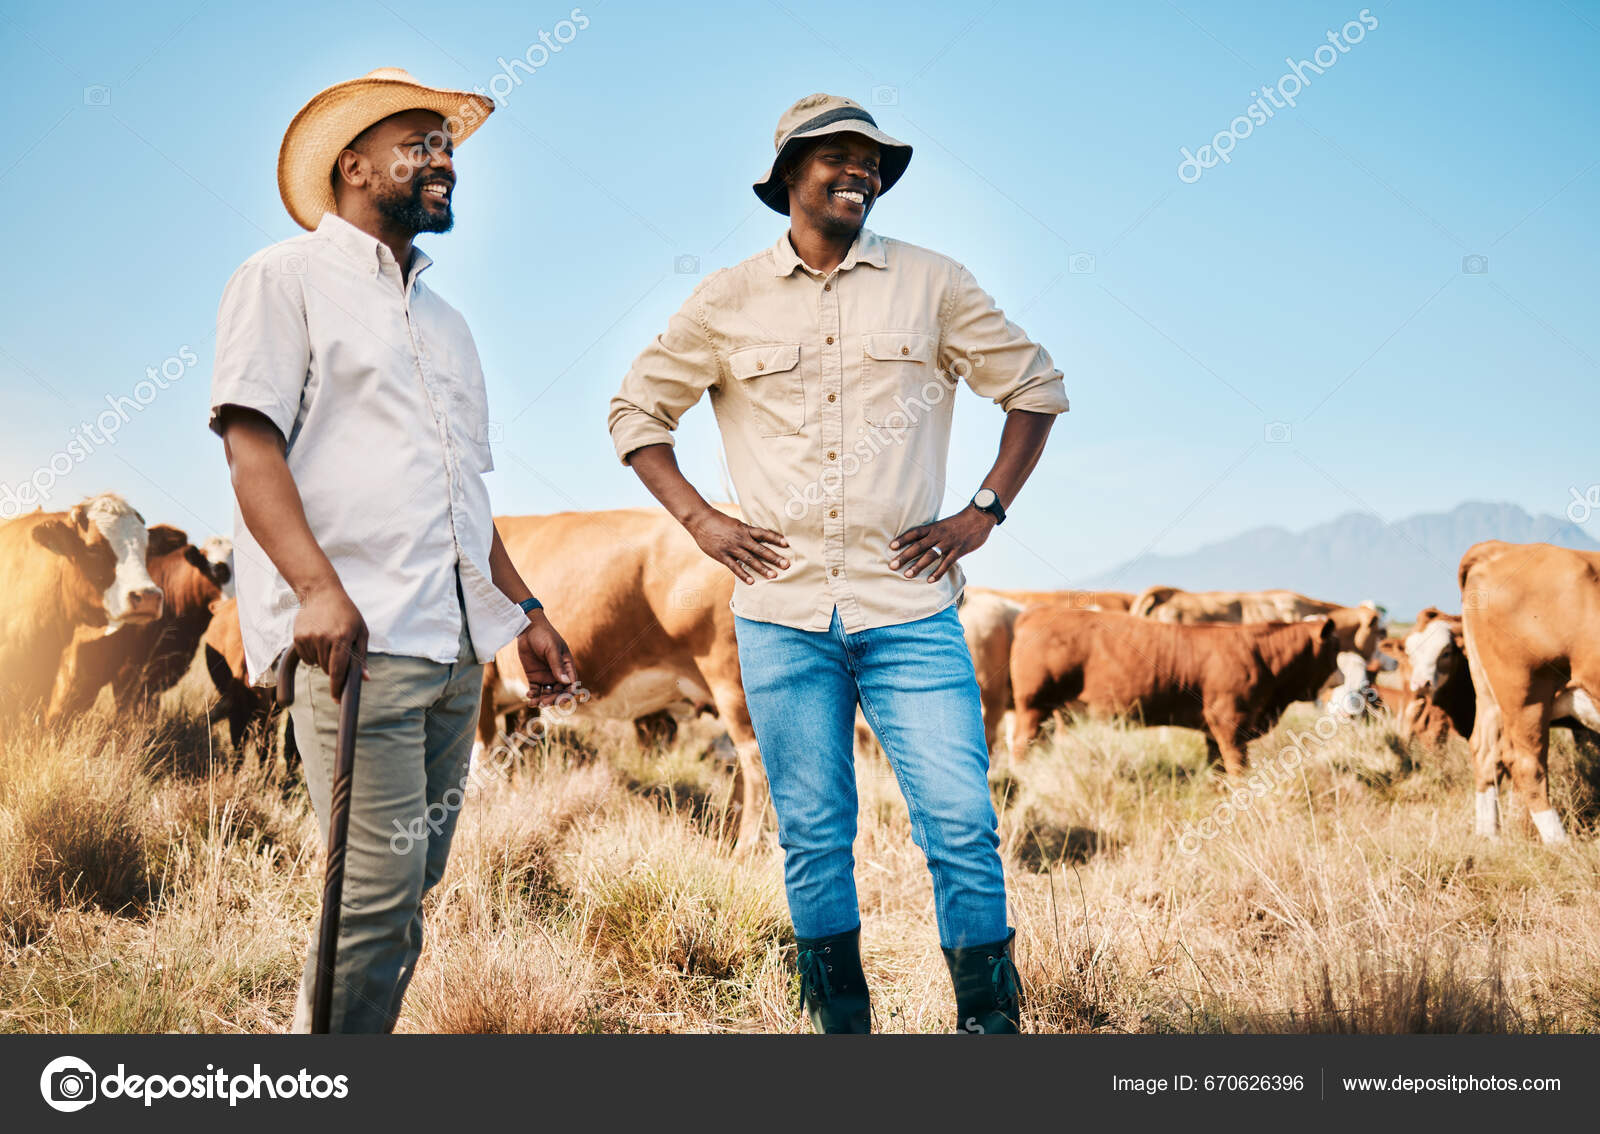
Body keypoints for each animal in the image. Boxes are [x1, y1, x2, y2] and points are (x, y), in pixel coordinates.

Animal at [481, 509, 767, 852]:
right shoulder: (520, 700)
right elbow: (518, 754)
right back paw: (729, 831)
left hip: (731, 685)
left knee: (756, 764)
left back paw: (745, 846)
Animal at [1008, 608, 1342, 772]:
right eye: (1335, 649)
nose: (1341, 678)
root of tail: (1032, 614)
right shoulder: (1230, 723)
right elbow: (1238, 768)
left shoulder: (1213, 730)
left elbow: (1217, 767)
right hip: (1033, 705)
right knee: (1022, 745)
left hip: (1061, 712)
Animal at [1459, 541, 1600, 843]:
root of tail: (1502, 548)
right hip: (1527, 695)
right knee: (1525, 762)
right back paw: (1559, 842)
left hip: (1489, 696)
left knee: (1486, 753)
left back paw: (1489, 835)